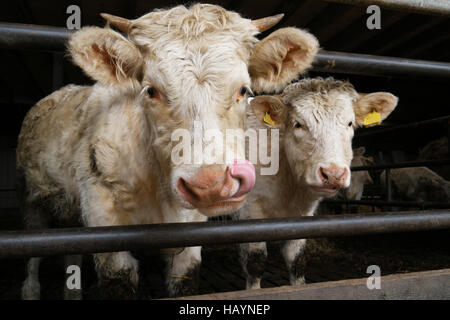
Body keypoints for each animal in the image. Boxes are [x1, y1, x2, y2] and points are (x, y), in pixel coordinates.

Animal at [17, 3, 320, 300]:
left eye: (244, 90)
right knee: (33, 252)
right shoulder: (104, 223)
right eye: (151, 90)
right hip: (33, 199)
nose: (211, 184)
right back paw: (30, 290)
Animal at [239, 78, 398, 290]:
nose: (333, 174)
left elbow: (297, 261)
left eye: (350, 123)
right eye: (298, 124)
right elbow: (255, 264)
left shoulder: (303, 216)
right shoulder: (250, 211)